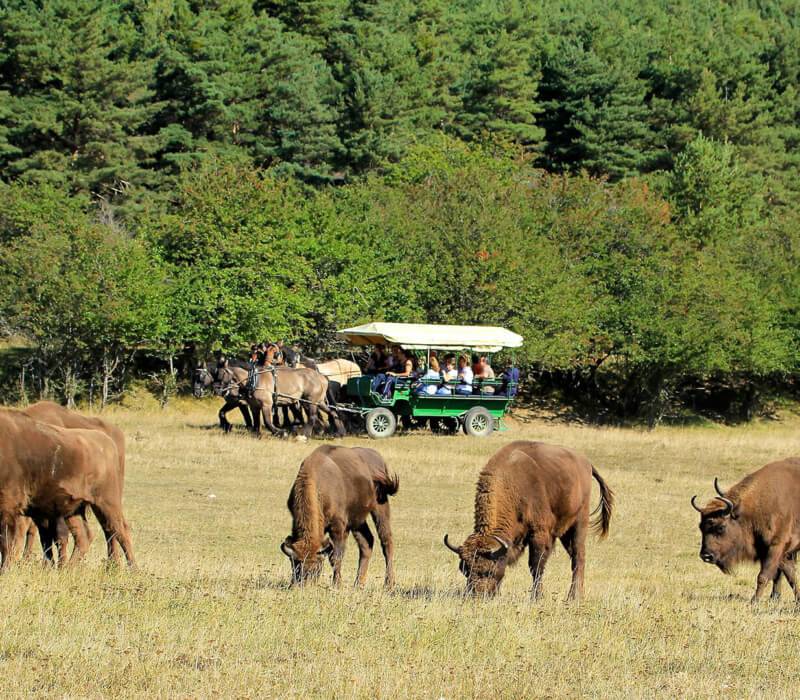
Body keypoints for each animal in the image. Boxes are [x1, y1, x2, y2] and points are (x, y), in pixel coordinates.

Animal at [0, 410, 135, 568]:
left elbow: (7, 541)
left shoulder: (9, 507)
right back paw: (67, 568)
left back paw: (133, 569)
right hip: (75, 510)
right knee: (84, 536)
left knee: (120, 531)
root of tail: (107, 442)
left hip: (107, 503)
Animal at [282, 446, 400, 588]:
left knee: (386, 542)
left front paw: (336, 584)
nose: (302, 585)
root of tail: (378, 457)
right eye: (295, 564)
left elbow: (336, 557)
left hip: (380, 507)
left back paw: (388, 584)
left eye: (316, 566)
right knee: (367, 543)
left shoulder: (338, 527)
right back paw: (358, 584)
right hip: (358, 521)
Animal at [444, 440, 612, 600]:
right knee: (574, 558)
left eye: (489, 570)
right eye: (464, 569)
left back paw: (573, 597)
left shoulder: (539, 534)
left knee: (579, 557)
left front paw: (536, 597)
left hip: (579, 522)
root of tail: (586, 463)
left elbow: (535, 566)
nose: (476, 595)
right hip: (564, 532)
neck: (511, 483)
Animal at [688, 460, 800, 600]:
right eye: (701, 527)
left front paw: (754, 601)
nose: (706, 556)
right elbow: (788, 575)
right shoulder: (776, 552)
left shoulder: (776, 547)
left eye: (721, 527)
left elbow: (764, 576)